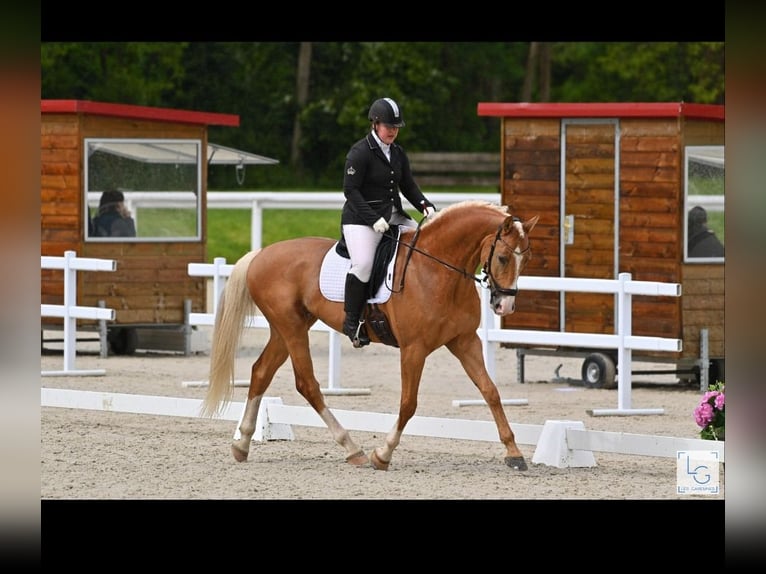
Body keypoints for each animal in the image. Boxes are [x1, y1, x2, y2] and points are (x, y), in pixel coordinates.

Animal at [201, 202, 544, 472]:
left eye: (527, 259)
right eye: (503, 258)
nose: (504, 306)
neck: (438, 270)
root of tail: (262, 253)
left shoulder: (465, 341)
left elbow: (490, 391)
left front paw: (514, 453)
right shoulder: (414, 349)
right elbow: (408, 403)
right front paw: (383, 454)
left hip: (286, 329)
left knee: (261, 372)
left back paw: (242, 444)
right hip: (292, 329)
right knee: (307, 384)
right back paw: (353, 449)